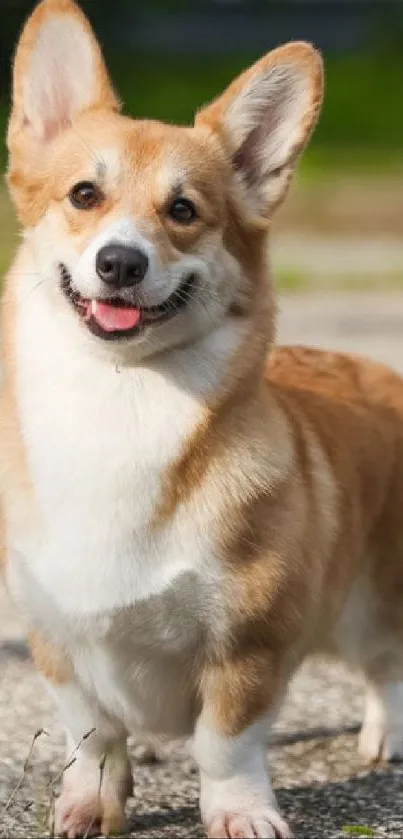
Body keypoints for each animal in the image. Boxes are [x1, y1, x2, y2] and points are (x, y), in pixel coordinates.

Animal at [2, 0, 403, 836]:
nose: (120, 263)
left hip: (373, 596)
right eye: (83, 195)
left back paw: (384, 734)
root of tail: (380, 367)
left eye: (183, 210)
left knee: (386, 662)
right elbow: (92, 733)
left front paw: (240, 812)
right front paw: (90, 801)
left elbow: (226, 741)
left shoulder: (249, 644)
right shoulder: (55, 638)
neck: (119, 397)